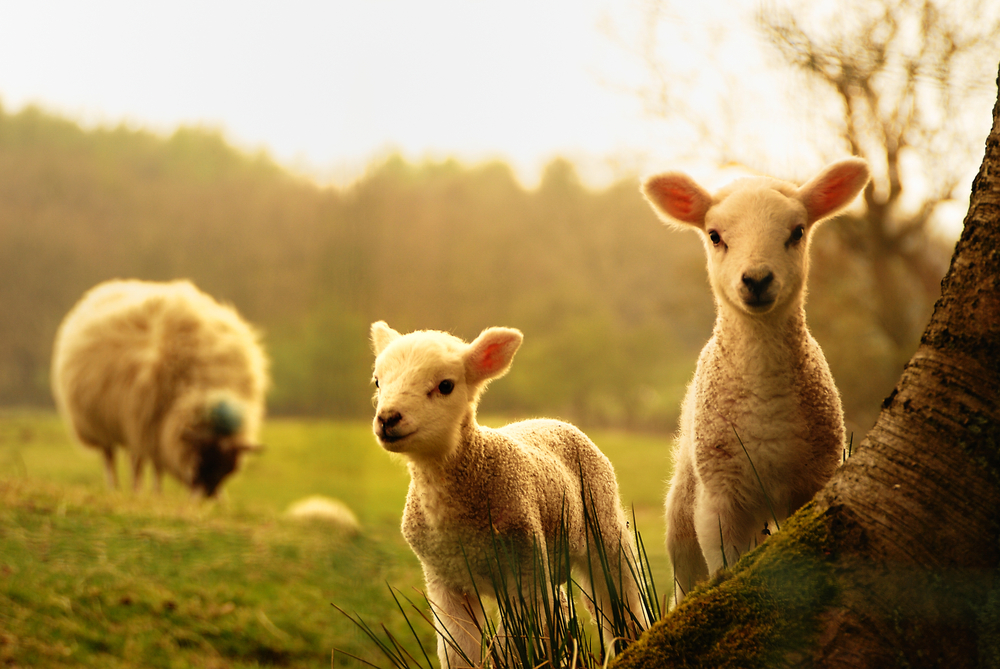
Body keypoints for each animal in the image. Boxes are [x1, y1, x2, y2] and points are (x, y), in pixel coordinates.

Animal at [50, 278, 270, 496]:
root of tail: (105, 288)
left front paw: (157, 494)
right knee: (110, 457)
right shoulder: (146, 422)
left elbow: (157, 465)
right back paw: (117, 488)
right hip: (98, 424)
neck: (208, 387)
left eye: (228, 467)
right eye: (201, 457)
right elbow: (144, 464)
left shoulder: (158, 429)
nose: (207, 497)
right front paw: (145, 492)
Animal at [370, 320, 648, 664]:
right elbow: (458, 651)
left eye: (445, 385)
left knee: (621, 599)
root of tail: (553, 419)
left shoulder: (524, 571)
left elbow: (514, 648)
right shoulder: (445, 581)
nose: (387, 419)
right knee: (562, 605)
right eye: (378, 381)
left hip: (604, 525)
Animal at [644, 158, 872, 604]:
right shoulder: (720, 497)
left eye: (797, 232)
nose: (757, 279)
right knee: (684, 579)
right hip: (683, 508)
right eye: (715, 236)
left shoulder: (812, 482)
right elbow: (723, 567)